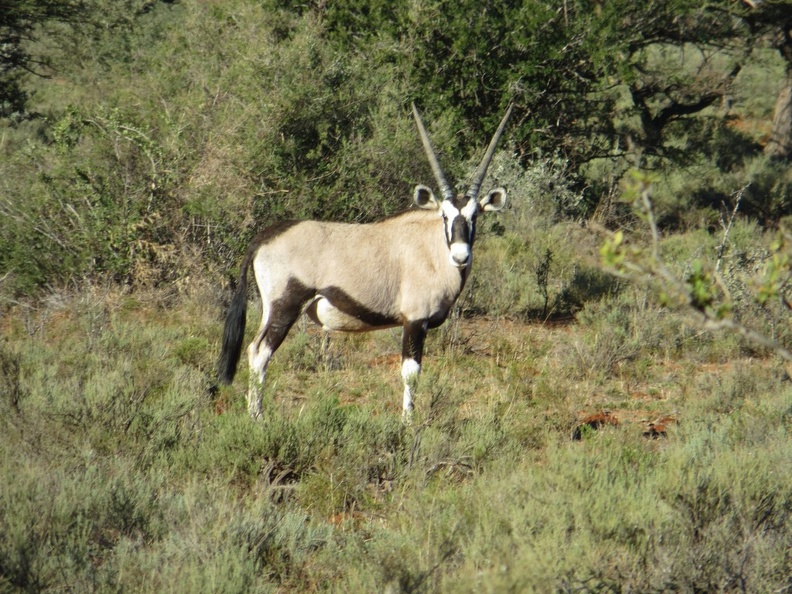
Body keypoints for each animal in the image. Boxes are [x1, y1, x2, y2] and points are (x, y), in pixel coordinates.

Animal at [218, 103, 512, 416]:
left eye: (474, 215)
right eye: (444, 215)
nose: (460, 255)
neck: (431, 249)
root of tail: (265, 237)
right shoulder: (414, 321)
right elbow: (411, 372)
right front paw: (408, 421)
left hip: (271, 309)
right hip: (285, 306)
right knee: (260, 352)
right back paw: (257, 417)